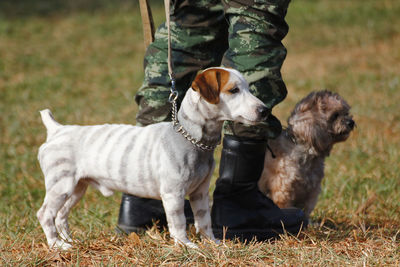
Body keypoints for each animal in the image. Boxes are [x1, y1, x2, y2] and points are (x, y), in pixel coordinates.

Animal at [37, 66, 270, 249]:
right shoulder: (173, 194)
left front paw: (212, 243)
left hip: (77, 189)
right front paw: (185, 245)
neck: (190, 137)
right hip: (61, 186)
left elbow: (204, 220)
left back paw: (69, 241)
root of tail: (57, 130)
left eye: (248, 88)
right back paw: (57, 245)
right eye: (233, 90)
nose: (265, 110)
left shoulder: (200, 192)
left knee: (61, 216)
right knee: (45, 214)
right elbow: (178, 222)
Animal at [260, 90, 356, 218]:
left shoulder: (311, 193)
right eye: (335, 115)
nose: (351, 122)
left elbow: (305, 212)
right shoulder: (283, 192)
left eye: (346, 113)